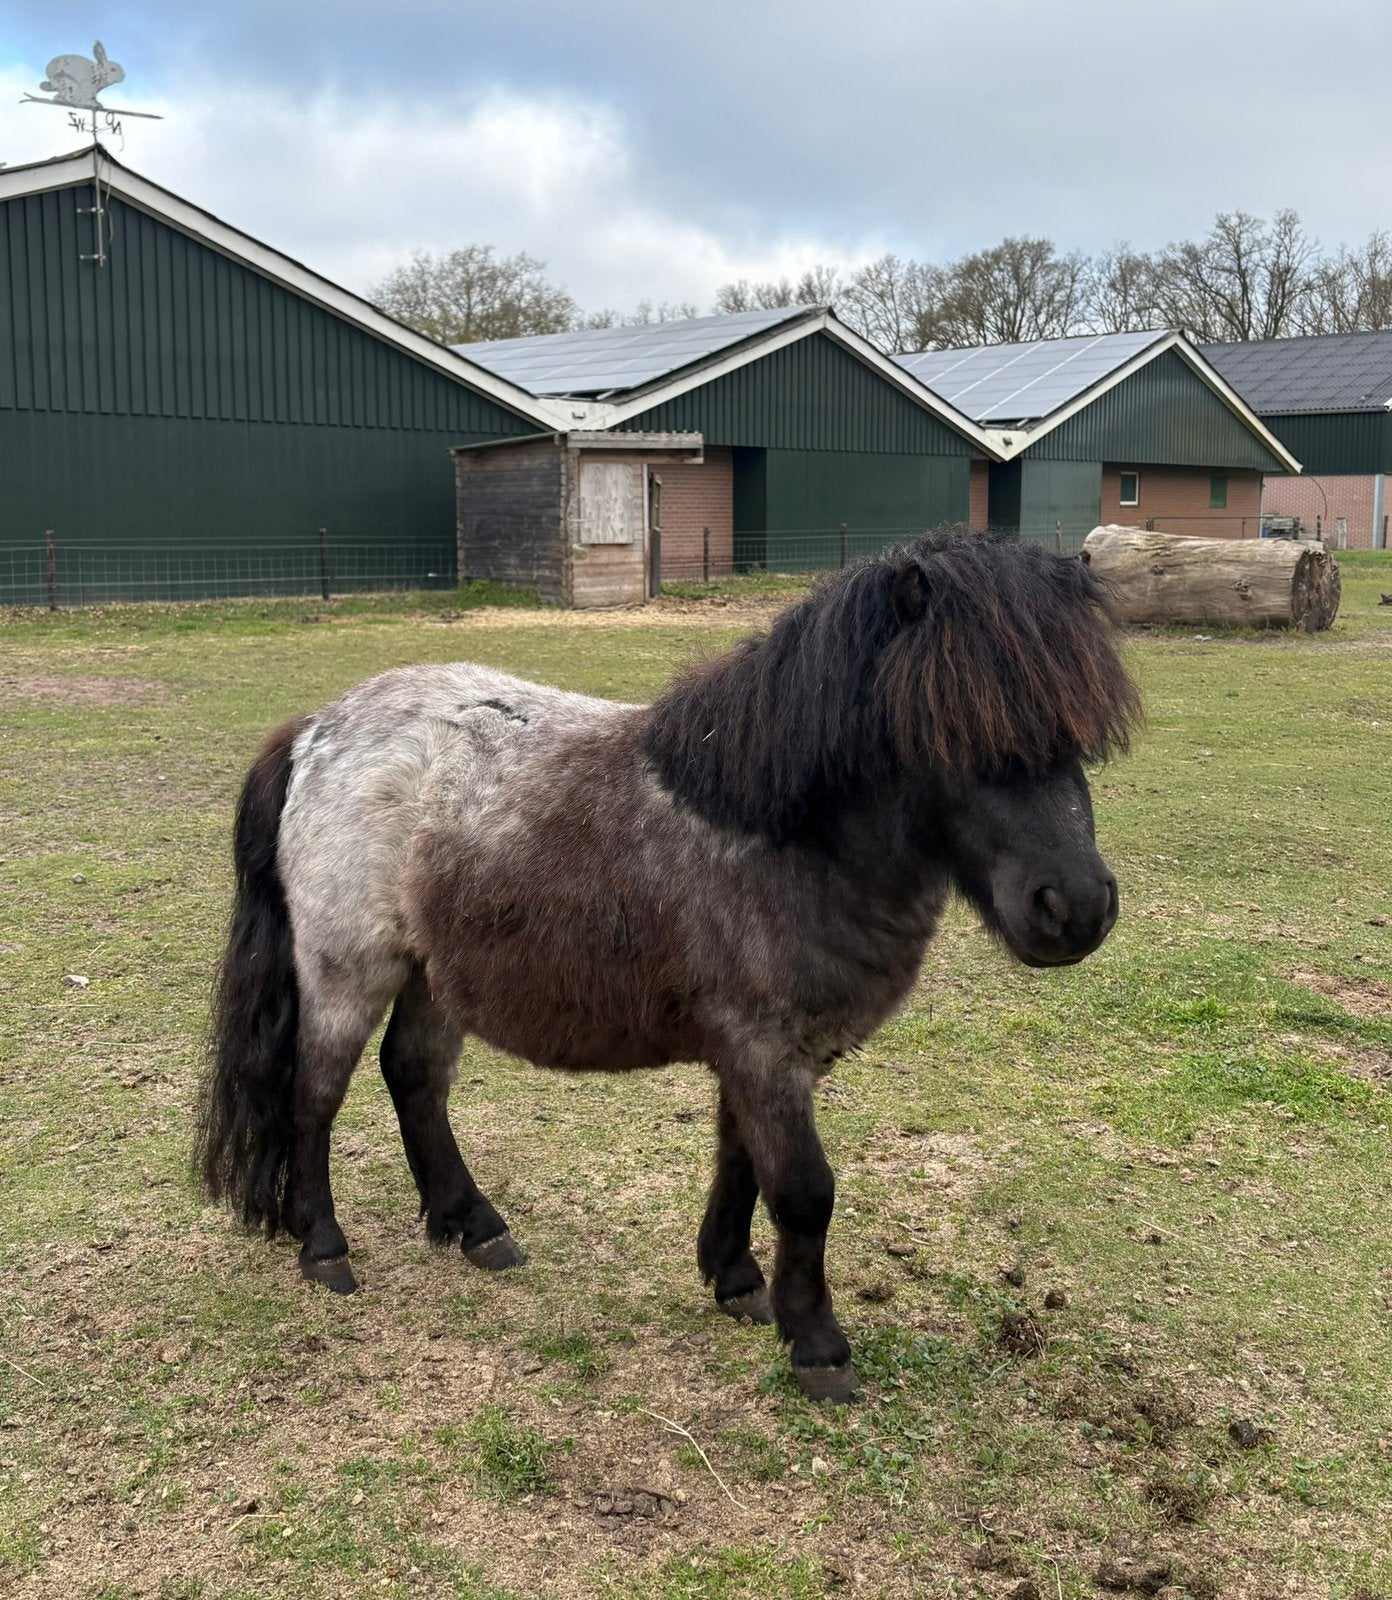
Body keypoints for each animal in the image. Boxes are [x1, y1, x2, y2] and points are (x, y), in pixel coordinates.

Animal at [195, 529, 1140, 1401]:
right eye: (949, 728)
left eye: (1084, 732)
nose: (1075, 909)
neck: (776, 832)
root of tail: (316, 730)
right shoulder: (765, 1051)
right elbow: (803, 1191)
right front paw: (818, 1345)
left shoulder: (763, 1056)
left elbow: (740, 1160)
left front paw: (737, 1280)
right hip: (348, 969)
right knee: (316, 1097)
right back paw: (324, 1246)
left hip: (435, 973)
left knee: (414, 1078)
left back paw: (475, 1225)